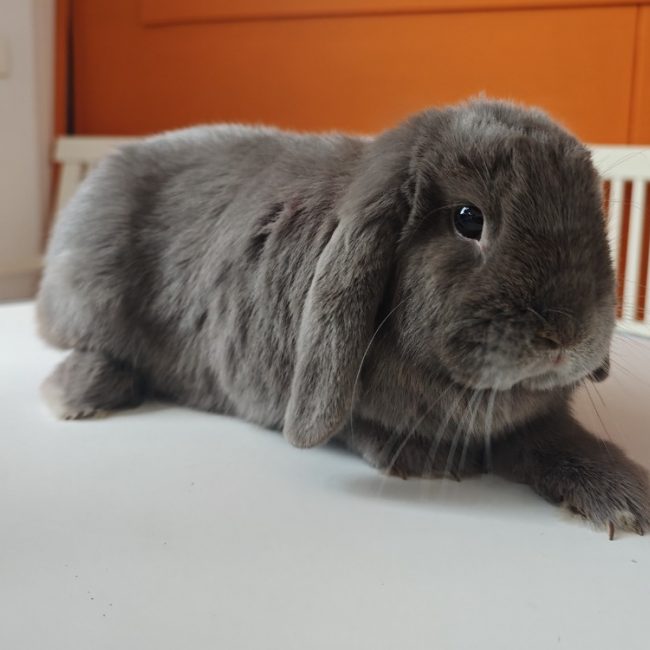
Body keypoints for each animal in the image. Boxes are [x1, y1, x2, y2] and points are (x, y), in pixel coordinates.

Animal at [37, 98, 649, 537]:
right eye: (468, 218)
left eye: (594, 215)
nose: (567, 335)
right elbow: (361, 425)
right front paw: (429, 462)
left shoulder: (536, 420)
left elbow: (561, 440)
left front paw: (627, 499)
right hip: (91, 302)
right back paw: (79, 394)